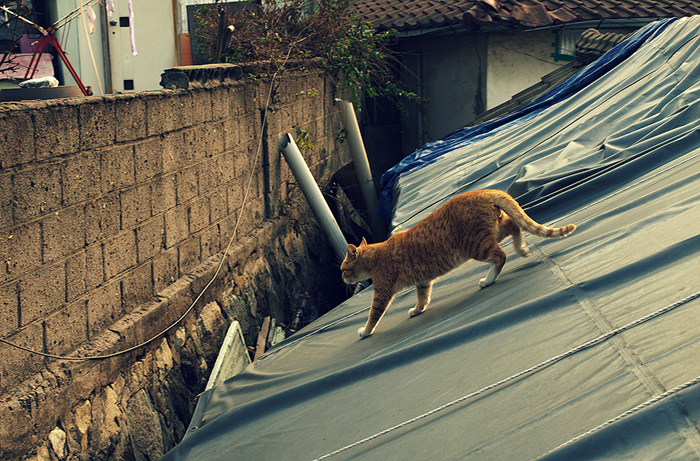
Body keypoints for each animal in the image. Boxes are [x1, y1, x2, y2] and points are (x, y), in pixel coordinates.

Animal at [342, 189, 576, 336]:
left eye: (343, 270)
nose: (342, 279)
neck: (375, 255)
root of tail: (484, 191)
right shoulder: (423, 282)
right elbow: (422, 299)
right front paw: (417, 310)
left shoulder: (382, 292)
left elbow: (373, 315)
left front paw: (365, 332)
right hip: (492, 232)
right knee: (514, 226)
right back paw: (522, 249)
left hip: (476, 246)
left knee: (500, 256)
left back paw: (488, 280)